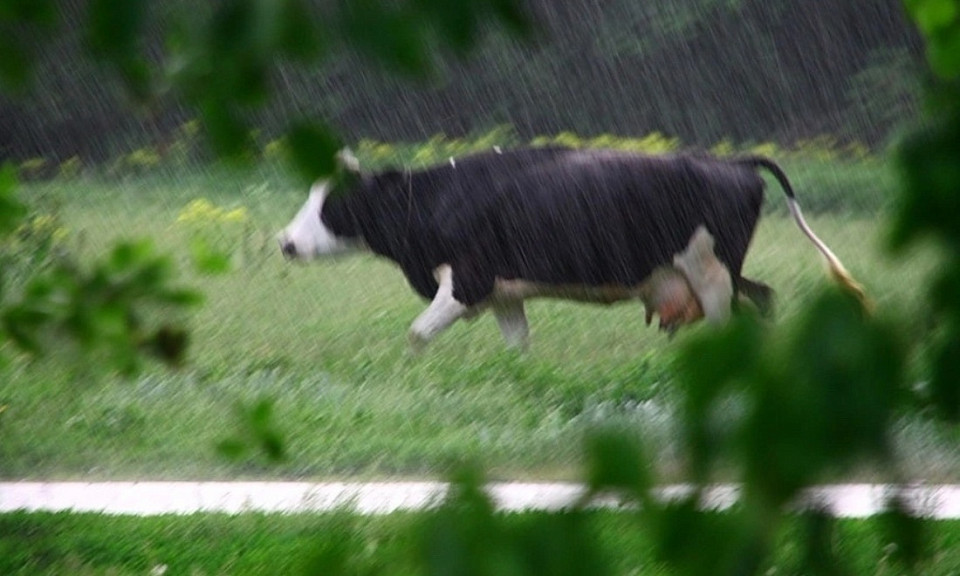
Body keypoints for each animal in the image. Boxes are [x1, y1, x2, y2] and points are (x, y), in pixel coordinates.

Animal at [276, 146, 864, 348]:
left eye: (333, 206)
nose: (285, 242)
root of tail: (731, 163)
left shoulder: (468, 279)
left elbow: (418, 333)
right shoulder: (503, 293)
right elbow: (518, 347)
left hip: (712, 274)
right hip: (724, 273)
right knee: (763, 297)